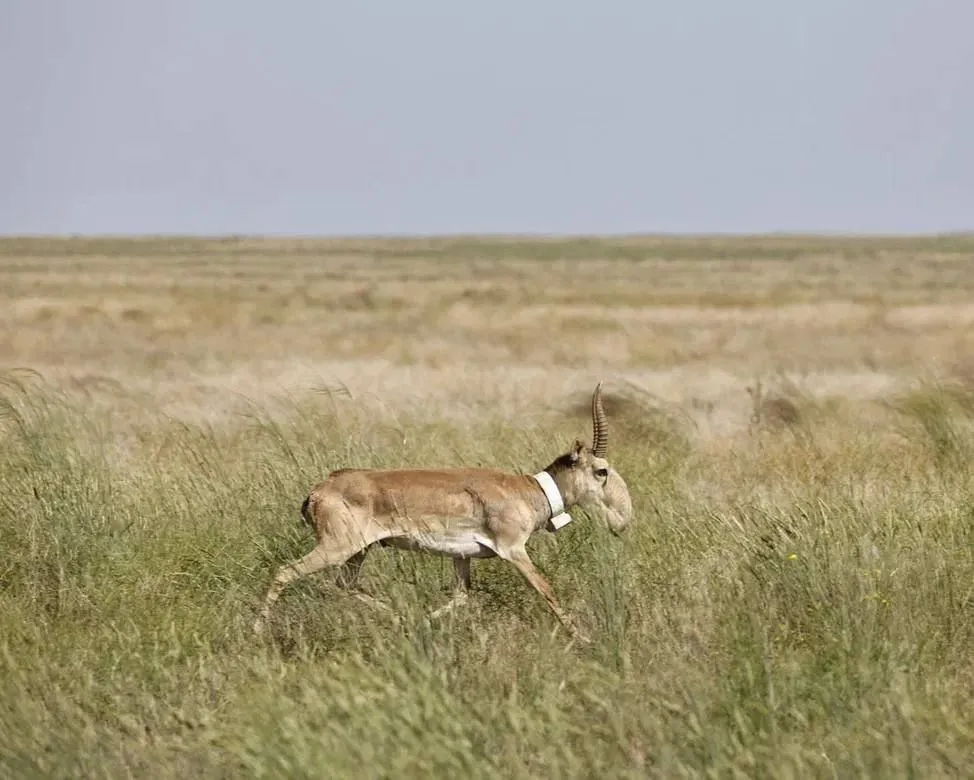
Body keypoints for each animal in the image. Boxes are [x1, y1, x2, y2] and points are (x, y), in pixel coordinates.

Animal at [254, 380, 632, 644]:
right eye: (602, 470)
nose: (624, 521)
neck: (526, 490)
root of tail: (319, 490)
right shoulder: (514, 551)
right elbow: (546, 589)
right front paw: (584, 638)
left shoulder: (461, 558)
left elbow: (461, 597)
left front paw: (421, 622)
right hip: (337, 548)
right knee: (285, 572)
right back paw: (257, 631)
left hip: (357, 552)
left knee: (344, 585)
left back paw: (399, 617)